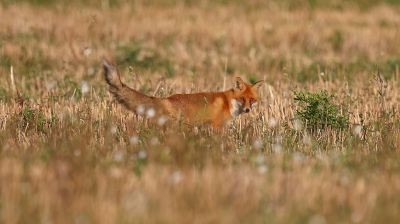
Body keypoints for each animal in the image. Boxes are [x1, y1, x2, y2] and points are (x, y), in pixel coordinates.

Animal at [104, 60, 262, 128]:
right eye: (242, 98)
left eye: (252, 100)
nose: (247, 110)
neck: (228, 102)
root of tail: (165, 99)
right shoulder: (217, 126)